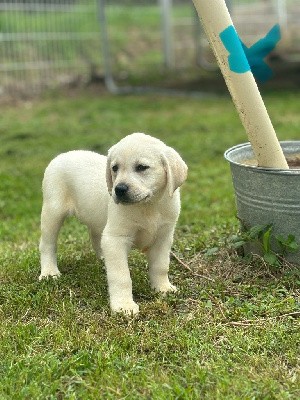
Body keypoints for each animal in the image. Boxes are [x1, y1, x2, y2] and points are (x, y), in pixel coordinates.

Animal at [38, 133, 186, 314]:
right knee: (47, 244)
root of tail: (62, 155)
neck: (149, 206)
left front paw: (163, 288)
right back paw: (49, 272)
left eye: (142, 167)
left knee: (95, 236)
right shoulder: (116, 239)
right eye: (115, 168)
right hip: (53, 212)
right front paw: (123, 305)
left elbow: (161, 266)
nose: (119, 189)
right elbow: (121, 276)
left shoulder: (163, 237)